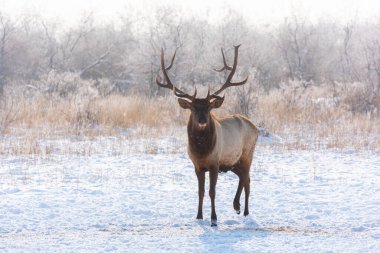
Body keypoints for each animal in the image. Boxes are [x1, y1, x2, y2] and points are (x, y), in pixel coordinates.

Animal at [155, 44, 258, 226]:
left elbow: (212, 191)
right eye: (193, 107)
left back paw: (245, 210)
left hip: (247, 153)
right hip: (232, 162)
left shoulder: (214, 164)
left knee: (247, 180)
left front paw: (214, 218)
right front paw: (199, 216)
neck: (202, 151)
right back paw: (236, 206)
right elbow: (200, 191)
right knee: (242, 177)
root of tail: (256, 127)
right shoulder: (197, 166)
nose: (202, 119)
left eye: (209, 107)